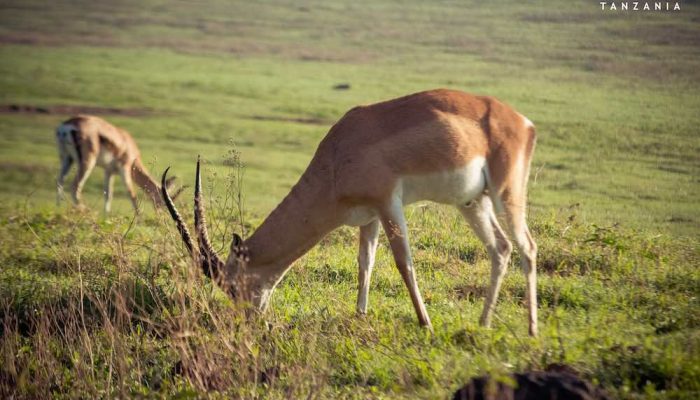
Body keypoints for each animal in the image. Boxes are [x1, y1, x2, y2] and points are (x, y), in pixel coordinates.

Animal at [161, 89, 540, 336]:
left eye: (232, 285)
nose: (246, 322)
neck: (338, 155)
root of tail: (524, 122)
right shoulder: (369, 216)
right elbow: (365, 263)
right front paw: (360, 316)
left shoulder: (389, 204)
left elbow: (404, 263)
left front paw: (426, 324)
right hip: (473, 202)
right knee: (501, 248)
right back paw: (484, 324)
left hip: (507, 193)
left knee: (528, 246)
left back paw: (533, 330)